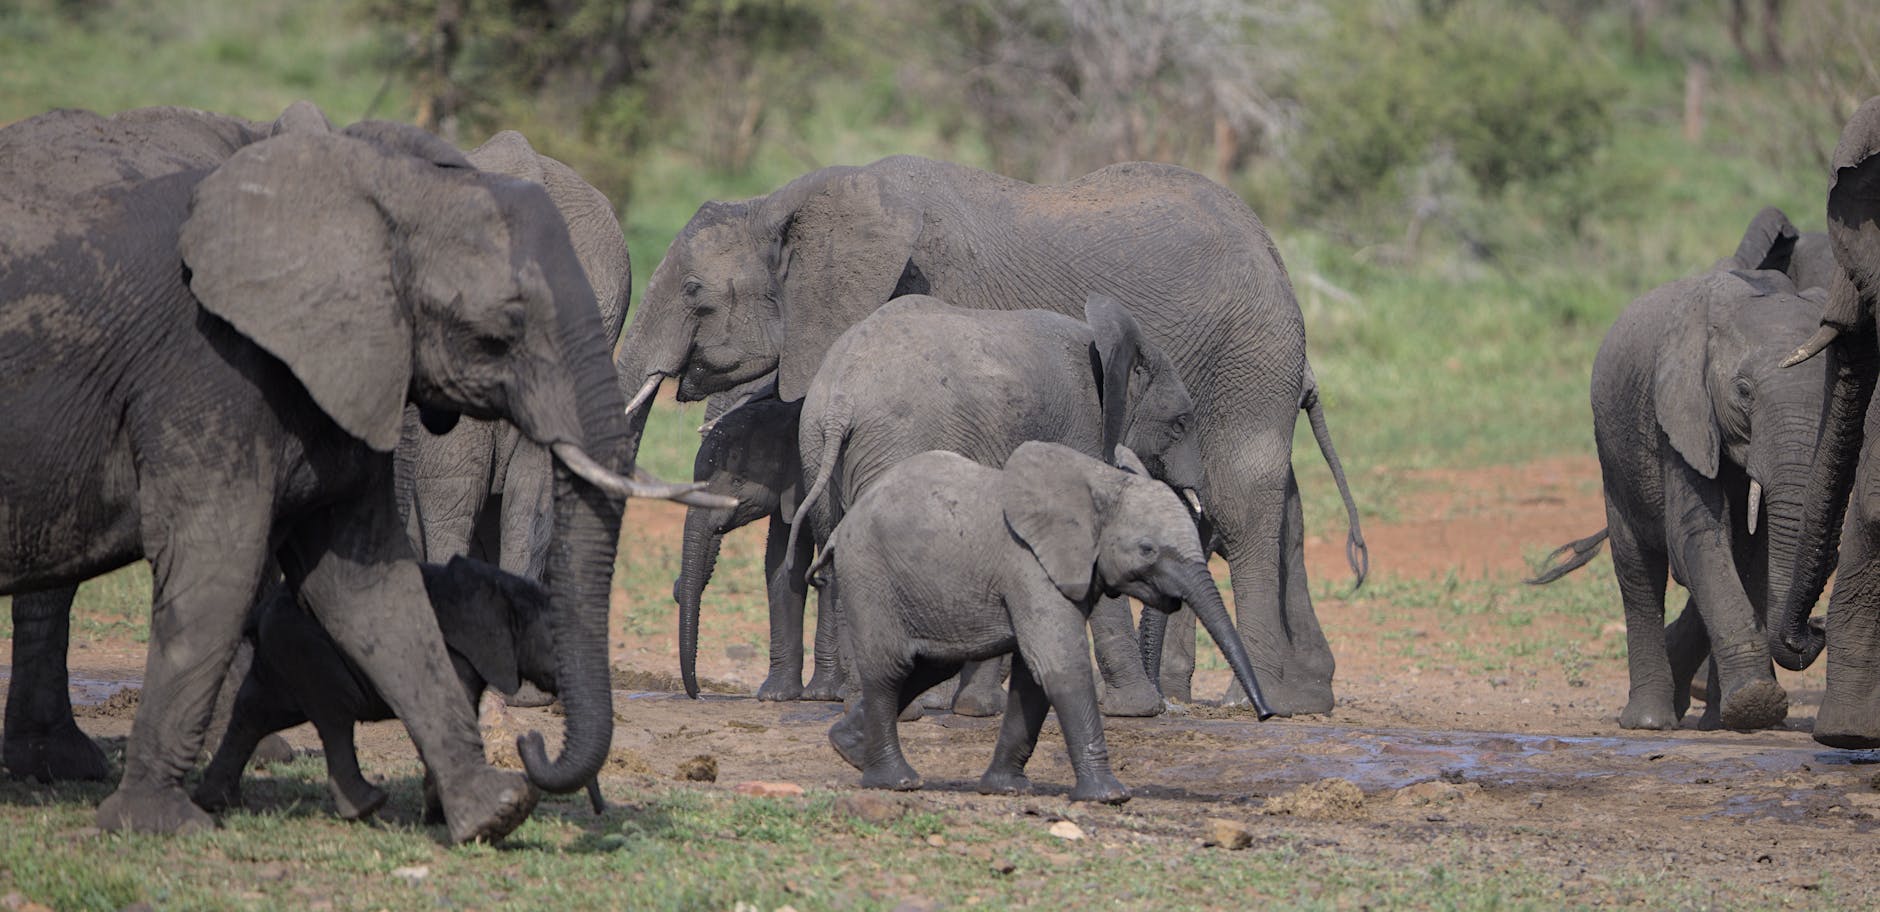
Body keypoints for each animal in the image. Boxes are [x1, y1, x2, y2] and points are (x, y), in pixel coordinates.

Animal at [196, 556, 603, 822]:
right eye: (556, 642)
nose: (531, 739)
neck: (501, 587)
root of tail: (261, 611)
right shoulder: (454, 652)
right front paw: (441, 814)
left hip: (282, 654)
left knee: (255, 711)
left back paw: (219, 800)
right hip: (308, 649)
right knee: (334, 714)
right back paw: (367, 805)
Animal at [788, 293, 1208, 718]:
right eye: (1180, 424)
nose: (1168, 705)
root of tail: (841, 396)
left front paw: (978, 706)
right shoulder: (1078, 428)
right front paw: (1140, 710)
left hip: (813, 444)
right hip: (894, 444)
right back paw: (903, 711)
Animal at [809, 442, 1271, 803]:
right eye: (1147, 549)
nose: (1265, 716)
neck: (1099, 483)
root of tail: (840, 529)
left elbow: (1034, 679)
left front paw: (1007, 789)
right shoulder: (1029, 565)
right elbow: (1060, 663)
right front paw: (1110, 796)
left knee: (925, 665)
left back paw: (847, 749)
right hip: (869, 573)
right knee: (891, 669)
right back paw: (896, 781)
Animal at [1528, 215, 1833, 731]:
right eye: (1744, 392)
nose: (1816, 626)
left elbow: (1755, 554)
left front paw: (1747, 713)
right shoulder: (1678, 412)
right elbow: (1697, 540)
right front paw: (1756, 704)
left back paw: (1708, 717)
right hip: (1614, 459)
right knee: (1638, 571)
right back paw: (1650, 721)